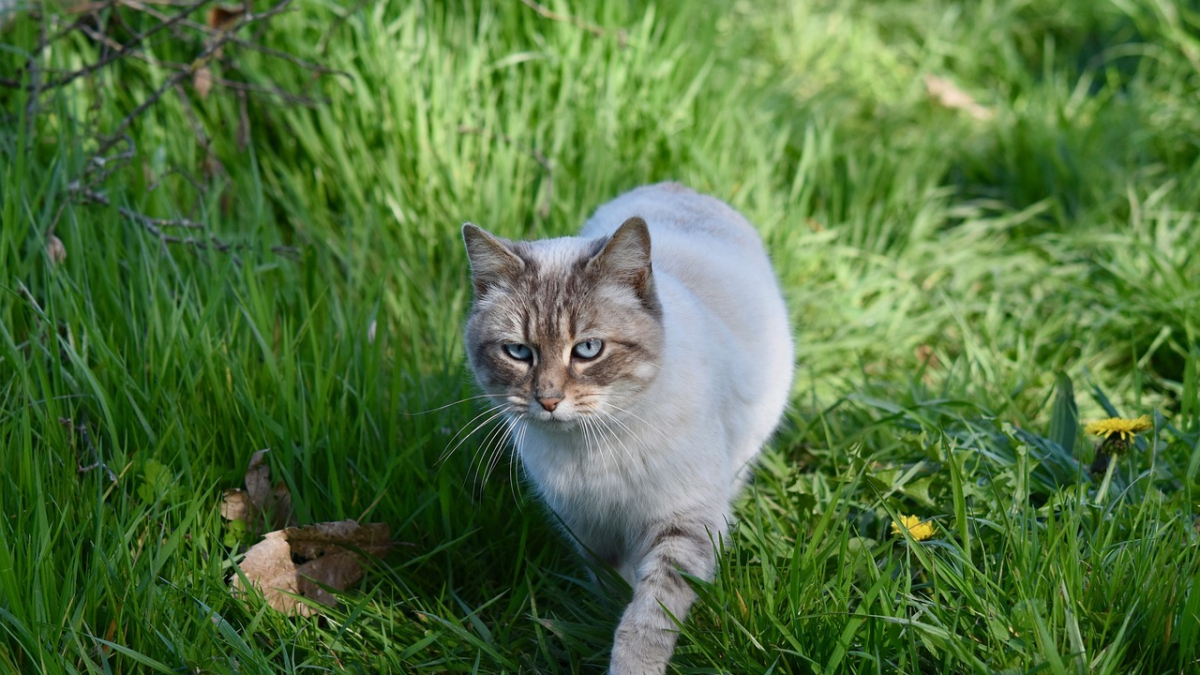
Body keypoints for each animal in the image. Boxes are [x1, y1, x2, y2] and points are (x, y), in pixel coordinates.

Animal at [463, 181, 792, 667]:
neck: (592, 448)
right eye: (518, 352)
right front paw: (603, 616)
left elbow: (648, 615)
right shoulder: (587, 527)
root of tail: (677, 185)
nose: (548, 400)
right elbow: (613, 584)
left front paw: (630, 663)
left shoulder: (682, 523)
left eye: (588, 349)